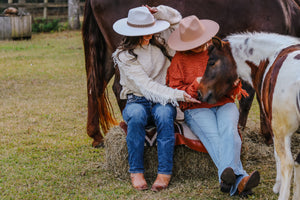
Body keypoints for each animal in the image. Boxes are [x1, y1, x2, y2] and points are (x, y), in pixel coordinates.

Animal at [81, 0, 300, 147]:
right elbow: (253, 96)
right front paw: (263, 134)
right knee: (119, 87)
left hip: (110, 54)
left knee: (96, 87)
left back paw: (96, 136)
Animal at [197, 32, 300, 200]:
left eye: (211, 62)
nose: (200, 92)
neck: (269, 57)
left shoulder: (274, 127)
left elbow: (279, 157)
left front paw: (278, 186)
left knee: (287, 163)